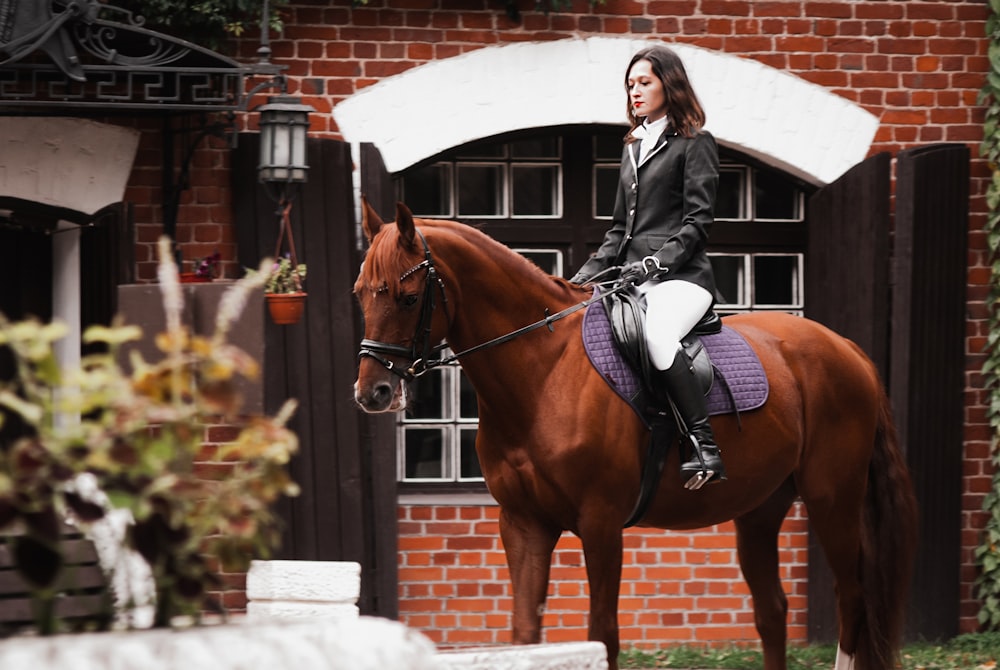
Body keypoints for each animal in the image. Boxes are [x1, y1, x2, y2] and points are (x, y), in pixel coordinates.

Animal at [352, 202, 916, 670]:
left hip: (832, 500)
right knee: (772, 610)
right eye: (360, 293)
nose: (373, 392)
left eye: (407, 297)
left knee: (852, 601)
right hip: (760, 509)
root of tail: (847, 348)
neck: (543, 371)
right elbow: (525, 635)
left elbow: (604, 635)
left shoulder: (601, 524)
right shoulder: (523, 525)